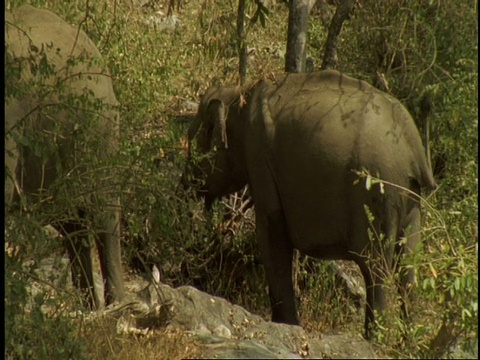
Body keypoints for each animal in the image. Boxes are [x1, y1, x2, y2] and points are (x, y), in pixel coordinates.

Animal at [180, 69, 436, 338]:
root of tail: (413, 148)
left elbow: (270, 232)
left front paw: (285, 325)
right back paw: (408, 342)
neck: (239, 94)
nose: (185, 186)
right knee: (409, 270)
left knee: (375, 270)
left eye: (192, 142)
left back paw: (374, 340)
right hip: (411, 198)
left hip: (378, 192)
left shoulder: (259, 155)